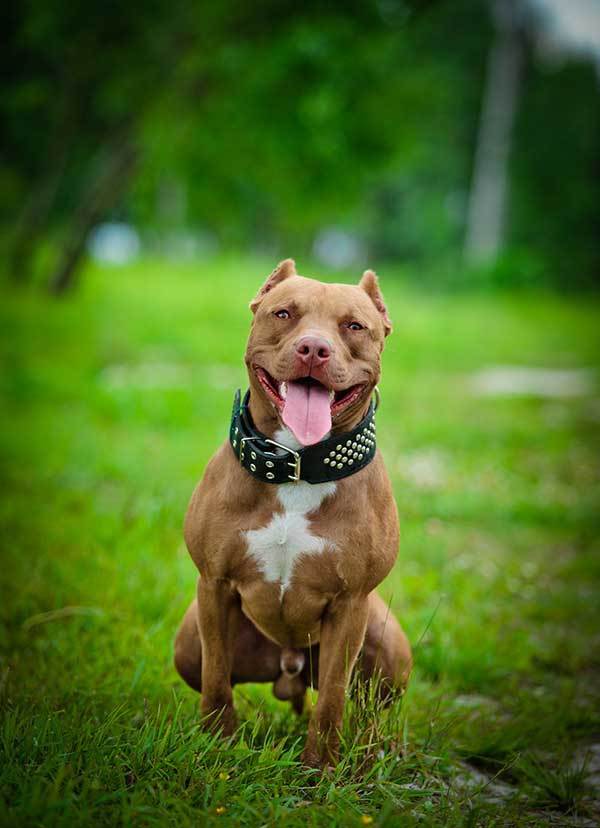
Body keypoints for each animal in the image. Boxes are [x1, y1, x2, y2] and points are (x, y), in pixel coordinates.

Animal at [171, 260, 410, 768]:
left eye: (354, 326)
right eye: (283, 313)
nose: (314, 348)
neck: (297, 465)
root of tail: (289, 668)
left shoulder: (350, 605)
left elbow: (334, 697)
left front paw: (321, 768)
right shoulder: (214, 586)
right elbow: (217, 676)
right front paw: (217, 746)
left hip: (388, 644)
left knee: (370, 705)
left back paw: (374, 750)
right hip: (187, 644)